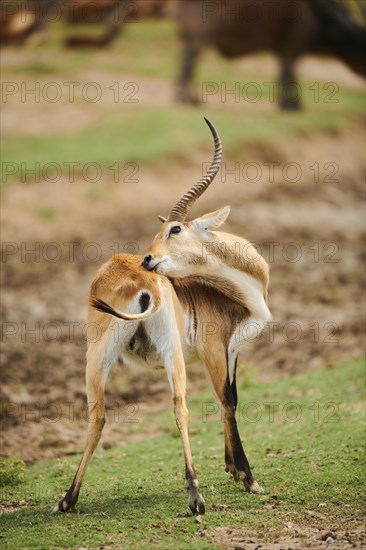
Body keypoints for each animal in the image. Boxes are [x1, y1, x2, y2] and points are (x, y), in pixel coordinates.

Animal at [53, 117, 272, 516]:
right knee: (180, 407)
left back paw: (67, 500)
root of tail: (137, 279)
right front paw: (248, 478)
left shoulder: (233, 351)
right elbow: (225, 401)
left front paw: (232, 468)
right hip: (170, 352)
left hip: (98, 357)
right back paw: (196, 497)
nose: (148, 258)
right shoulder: (214, 350)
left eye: (175, 228)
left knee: (98, 415)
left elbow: (231, 398)